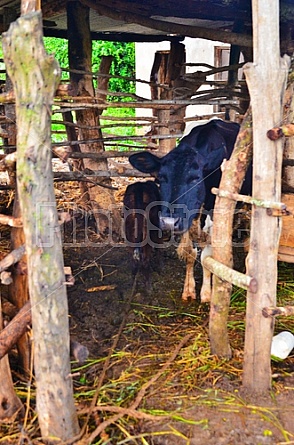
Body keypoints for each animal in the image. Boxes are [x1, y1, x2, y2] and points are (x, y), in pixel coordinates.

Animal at [129, 119, 250, 298]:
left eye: (195, 178)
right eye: (161, 177)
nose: (169, 222)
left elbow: (207, 255)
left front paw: (206, 292)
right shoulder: (186, 218)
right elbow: (189, 253)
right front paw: (188, 289)